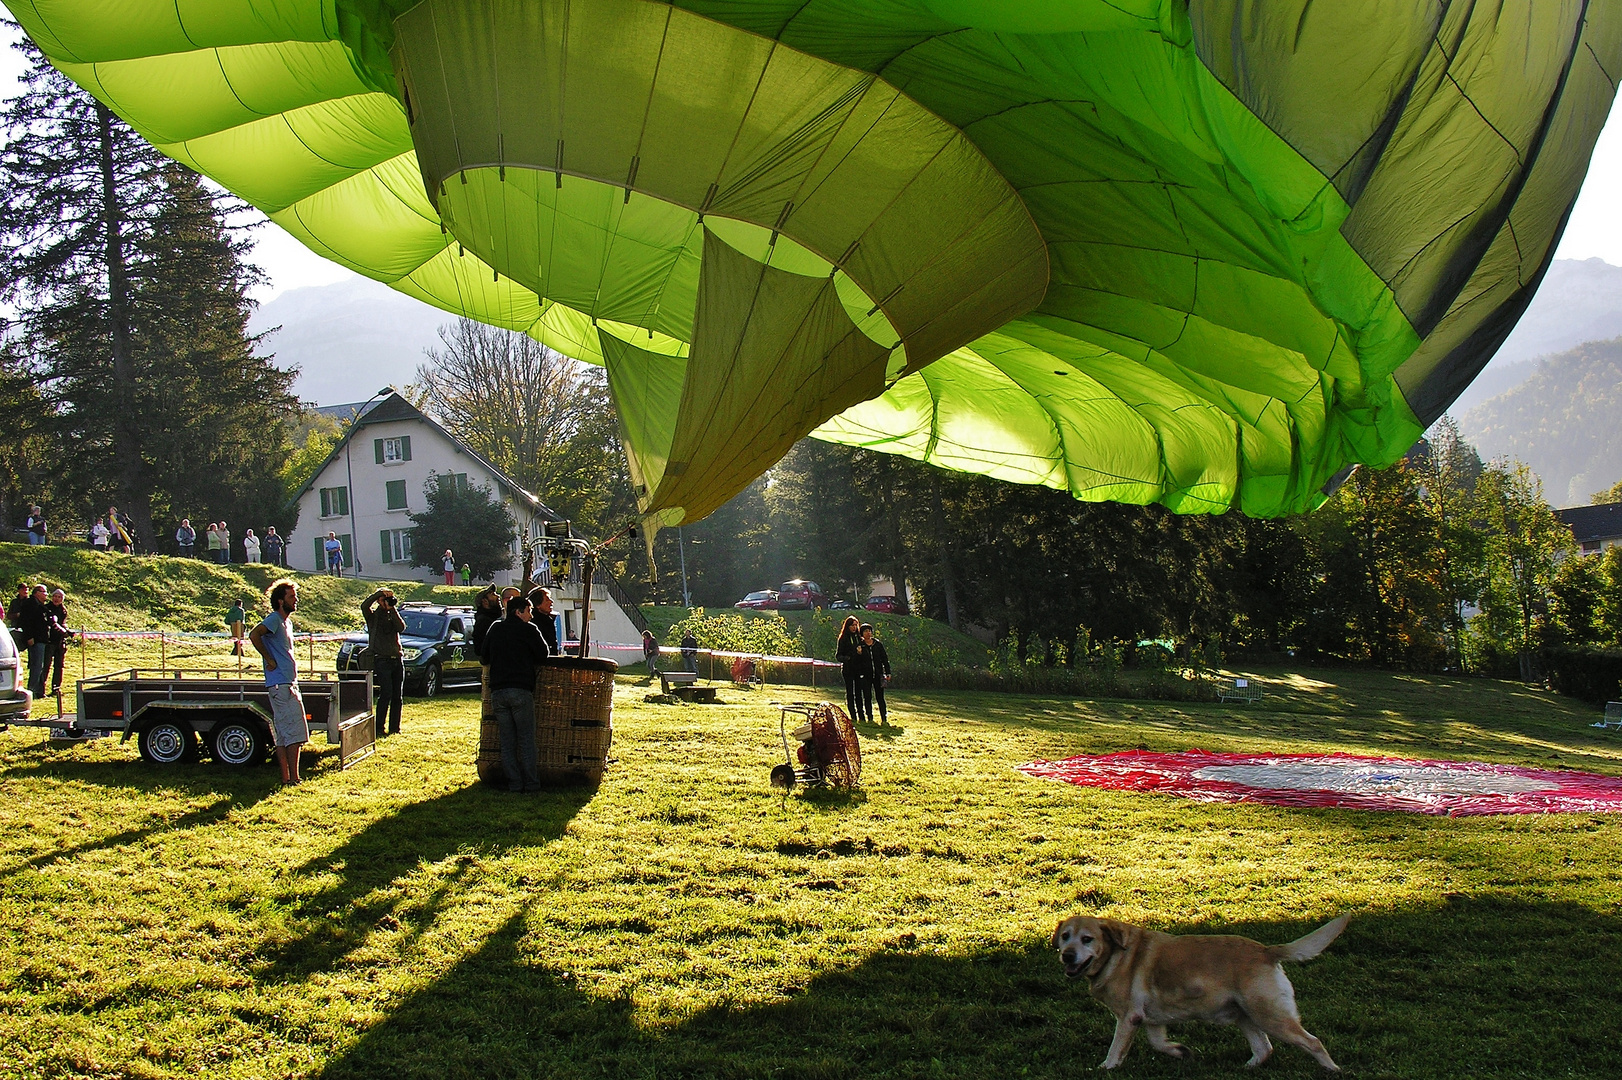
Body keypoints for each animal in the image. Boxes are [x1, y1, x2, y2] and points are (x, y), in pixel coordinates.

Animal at [1051, 908, 1343, 1070]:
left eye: (1087, 939)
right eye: (1065, 936)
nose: (1067, 955)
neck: (1115, 955)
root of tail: (1267, 951)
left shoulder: (1128, 1018)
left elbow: (1115, 1050)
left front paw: (1106, 1067)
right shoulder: (1148, 1019)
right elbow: (1159, 1043)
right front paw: (1180, 1051)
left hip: (1270, 1015)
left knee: (1313, 1042)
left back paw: (1333, 1070)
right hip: (1244, 1015)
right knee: (1264, 1049)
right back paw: (1244, 1069)